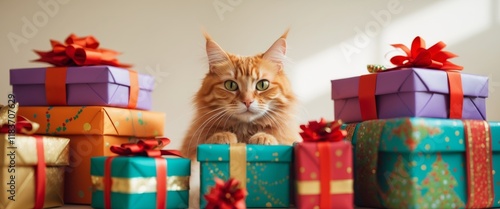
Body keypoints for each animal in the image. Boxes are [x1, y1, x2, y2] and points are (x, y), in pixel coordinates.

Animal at [182, 30, 300, 158]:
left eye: (262, 84)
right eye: (230, 85)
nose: (247, 101)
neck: (244, 131)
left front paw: (264, 138)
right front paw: (222, 136)